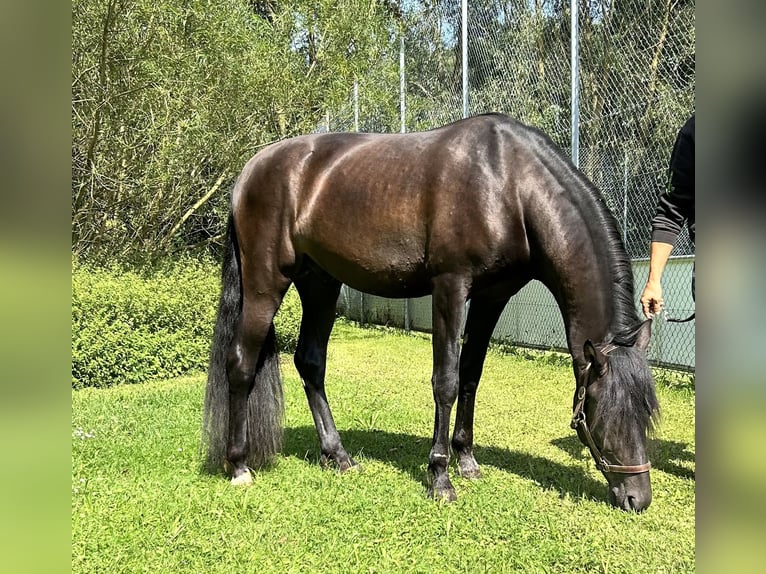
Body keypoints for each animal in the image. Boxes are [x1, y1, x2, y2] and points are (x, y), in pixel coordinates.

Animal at [202, 112, 660, 512]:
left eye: (647, 414)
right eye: (604, 414)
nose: (637, 499)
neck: (508, 184)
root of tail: (248, 172)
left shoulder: (492, 296)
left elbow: (472, 375)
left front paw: (466, 459)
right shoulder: (450, 288)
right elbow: (446, 382)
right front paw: (440, 476)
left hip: (320, 285)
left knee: (310, 363)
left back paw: (339, 456)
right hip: (266, 283)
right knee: (240, 364)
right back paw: (239, 465)